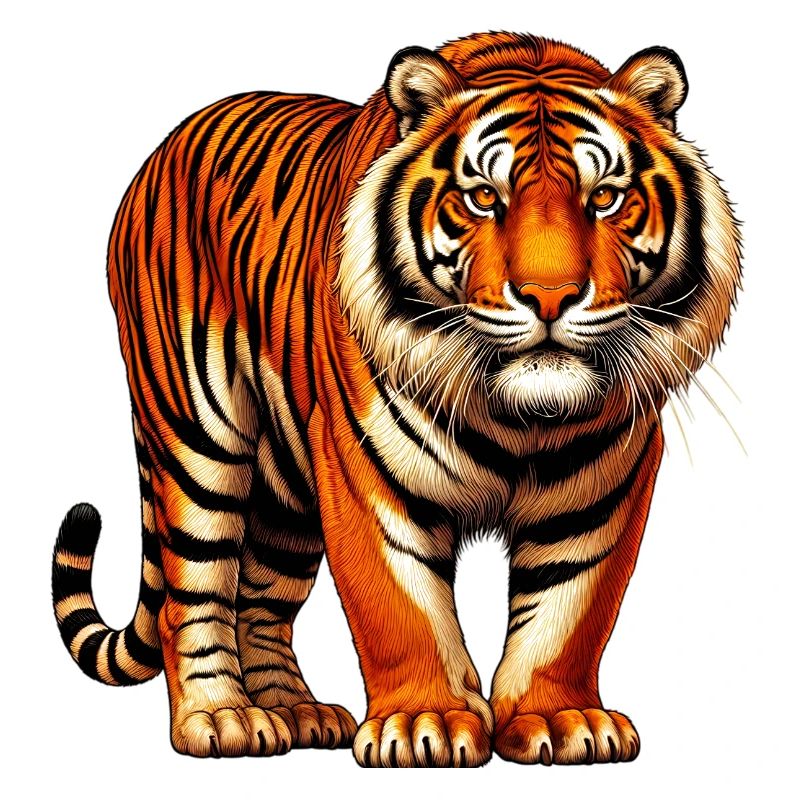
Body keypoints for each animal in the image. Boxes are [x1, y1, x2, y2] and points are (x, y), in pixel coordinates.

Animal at [51, 31, 741, 768]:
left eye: (606, 197)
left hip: (287, 494)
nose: (549, 296)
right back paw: (221, 719)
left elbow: (567, 611)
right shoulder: (363, 466)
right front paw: (423, 723)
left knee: (261, 599)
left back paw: (294, 712)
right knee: (196, 589)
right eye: (483, 198)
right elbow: (400, 603)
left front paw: (560, 720)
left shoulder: (606, 480)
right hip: (196, 435)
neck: (519, 415)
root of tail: (169, 142)